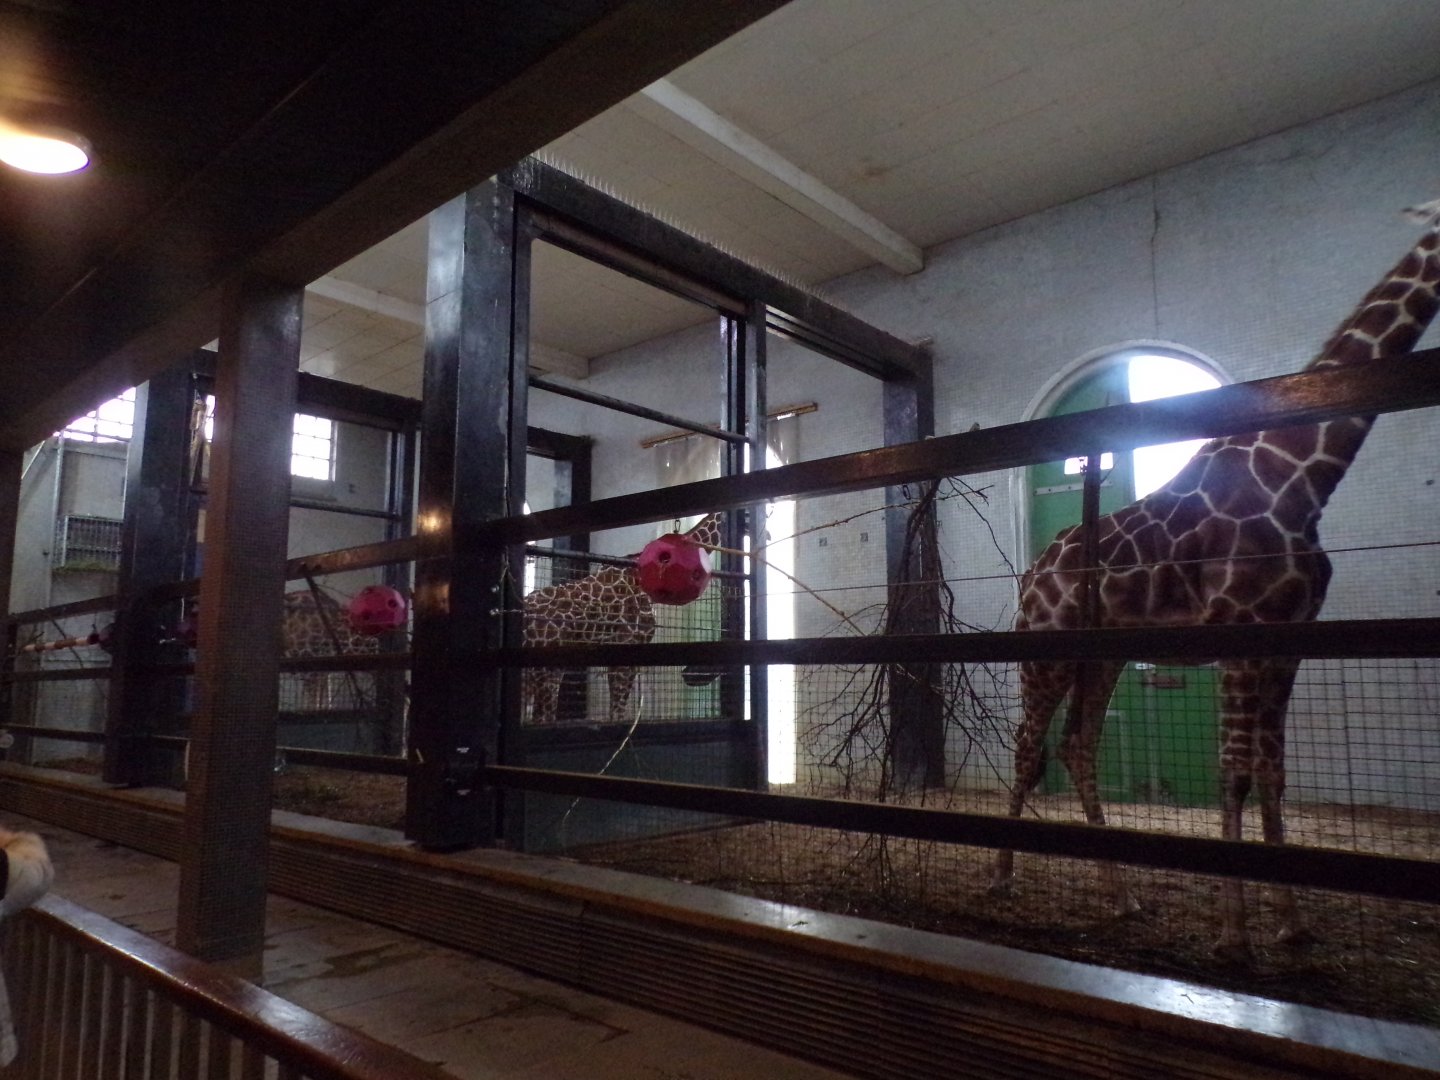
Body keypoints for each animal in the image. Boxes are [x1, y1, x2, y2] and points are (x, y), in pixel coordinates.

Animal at [991, 198, 1440, 959]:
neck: (1303, 476)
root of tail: (1034, 570)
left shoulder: (1288, 642)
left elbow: (1272, 773)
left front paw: (1291, 923)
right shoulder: (1240, 632)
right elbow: (1233, 772)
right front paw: (1235, 935)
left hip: (1100, 656)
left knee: (1078, 744)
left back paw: (1122, 897)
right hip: (1045, 646)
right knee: (1028, 746)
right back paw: (999, 881)